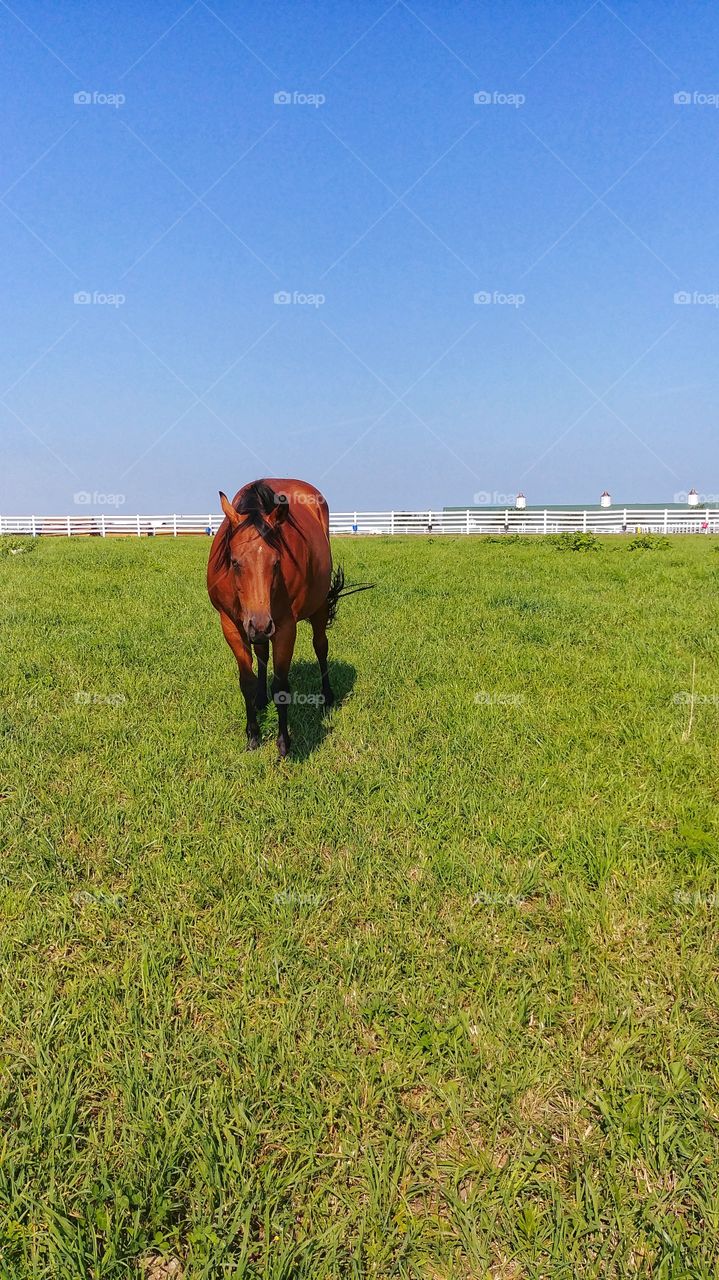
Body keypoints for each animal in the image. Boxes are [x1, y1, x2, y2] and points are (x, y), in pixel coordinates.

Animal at [207, 478, 344, 757]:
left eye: (277, 563)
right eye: (234, 562)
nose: (260, 625)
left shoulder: (285, 628)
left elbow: (281, 687)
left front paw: (283, 743)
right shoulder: (231, 625)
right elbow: (246, 681)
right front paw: (253, 735)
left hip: (318, 606)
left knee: (321, 647)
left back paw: (326, 696)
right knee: (262, 653)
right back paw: (261, 698)